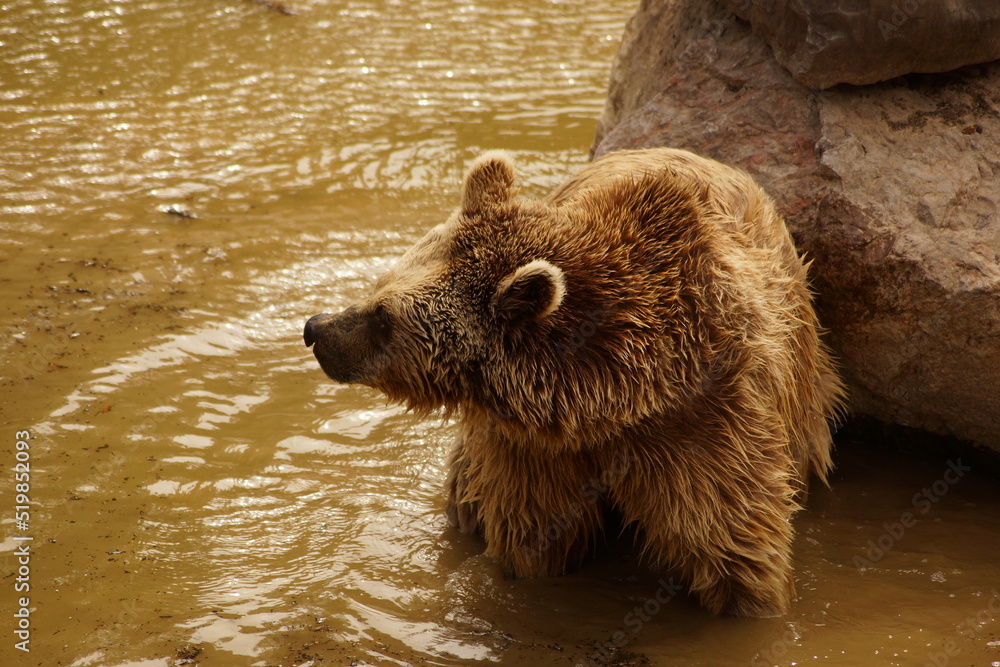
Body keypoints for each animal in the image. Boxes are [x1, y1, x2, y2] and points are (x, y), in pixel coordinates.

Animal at [303, 148, 845, 617]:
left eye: (383, 316)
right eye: (378, 286)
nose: (316, 329)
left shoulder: (711, 422)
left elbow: (735, 544)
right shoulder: (530, 451)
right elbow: (533, 539)